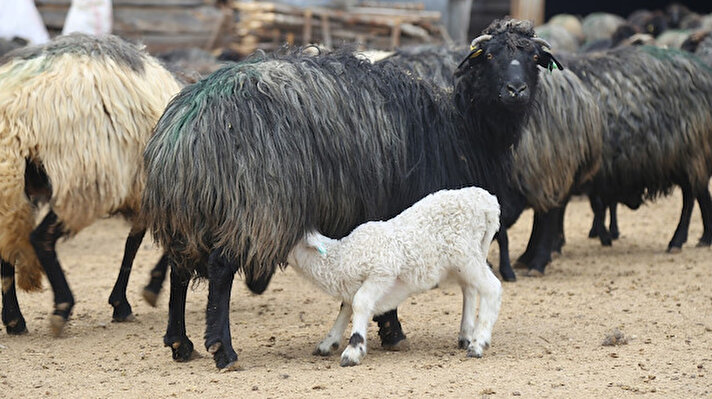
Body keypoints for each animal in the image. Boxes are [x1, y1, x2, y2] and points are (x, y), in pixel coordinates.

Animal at [0, 32, 182, 336]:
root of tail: (17, 107)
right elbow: (140, 243)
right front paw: (139, 294)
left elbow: (136, 241)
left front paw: (129, 298)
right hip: (82, 180)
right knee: (41, 237)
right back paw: (61, 307)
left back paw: (14, 319)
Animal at [286, 186, 504, 368]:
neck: (342, 256)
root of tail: (487, 202)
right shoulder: (355, 283)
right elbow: (346, 307)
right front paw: (328, 342)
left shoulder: (382, 272)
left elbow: (360, 303)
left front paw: (353, 350)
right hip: (465, 259)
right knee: (470, 289)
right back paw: (466, 335)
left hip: (465, 254)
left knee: (492, 288)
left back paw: (478, 343)